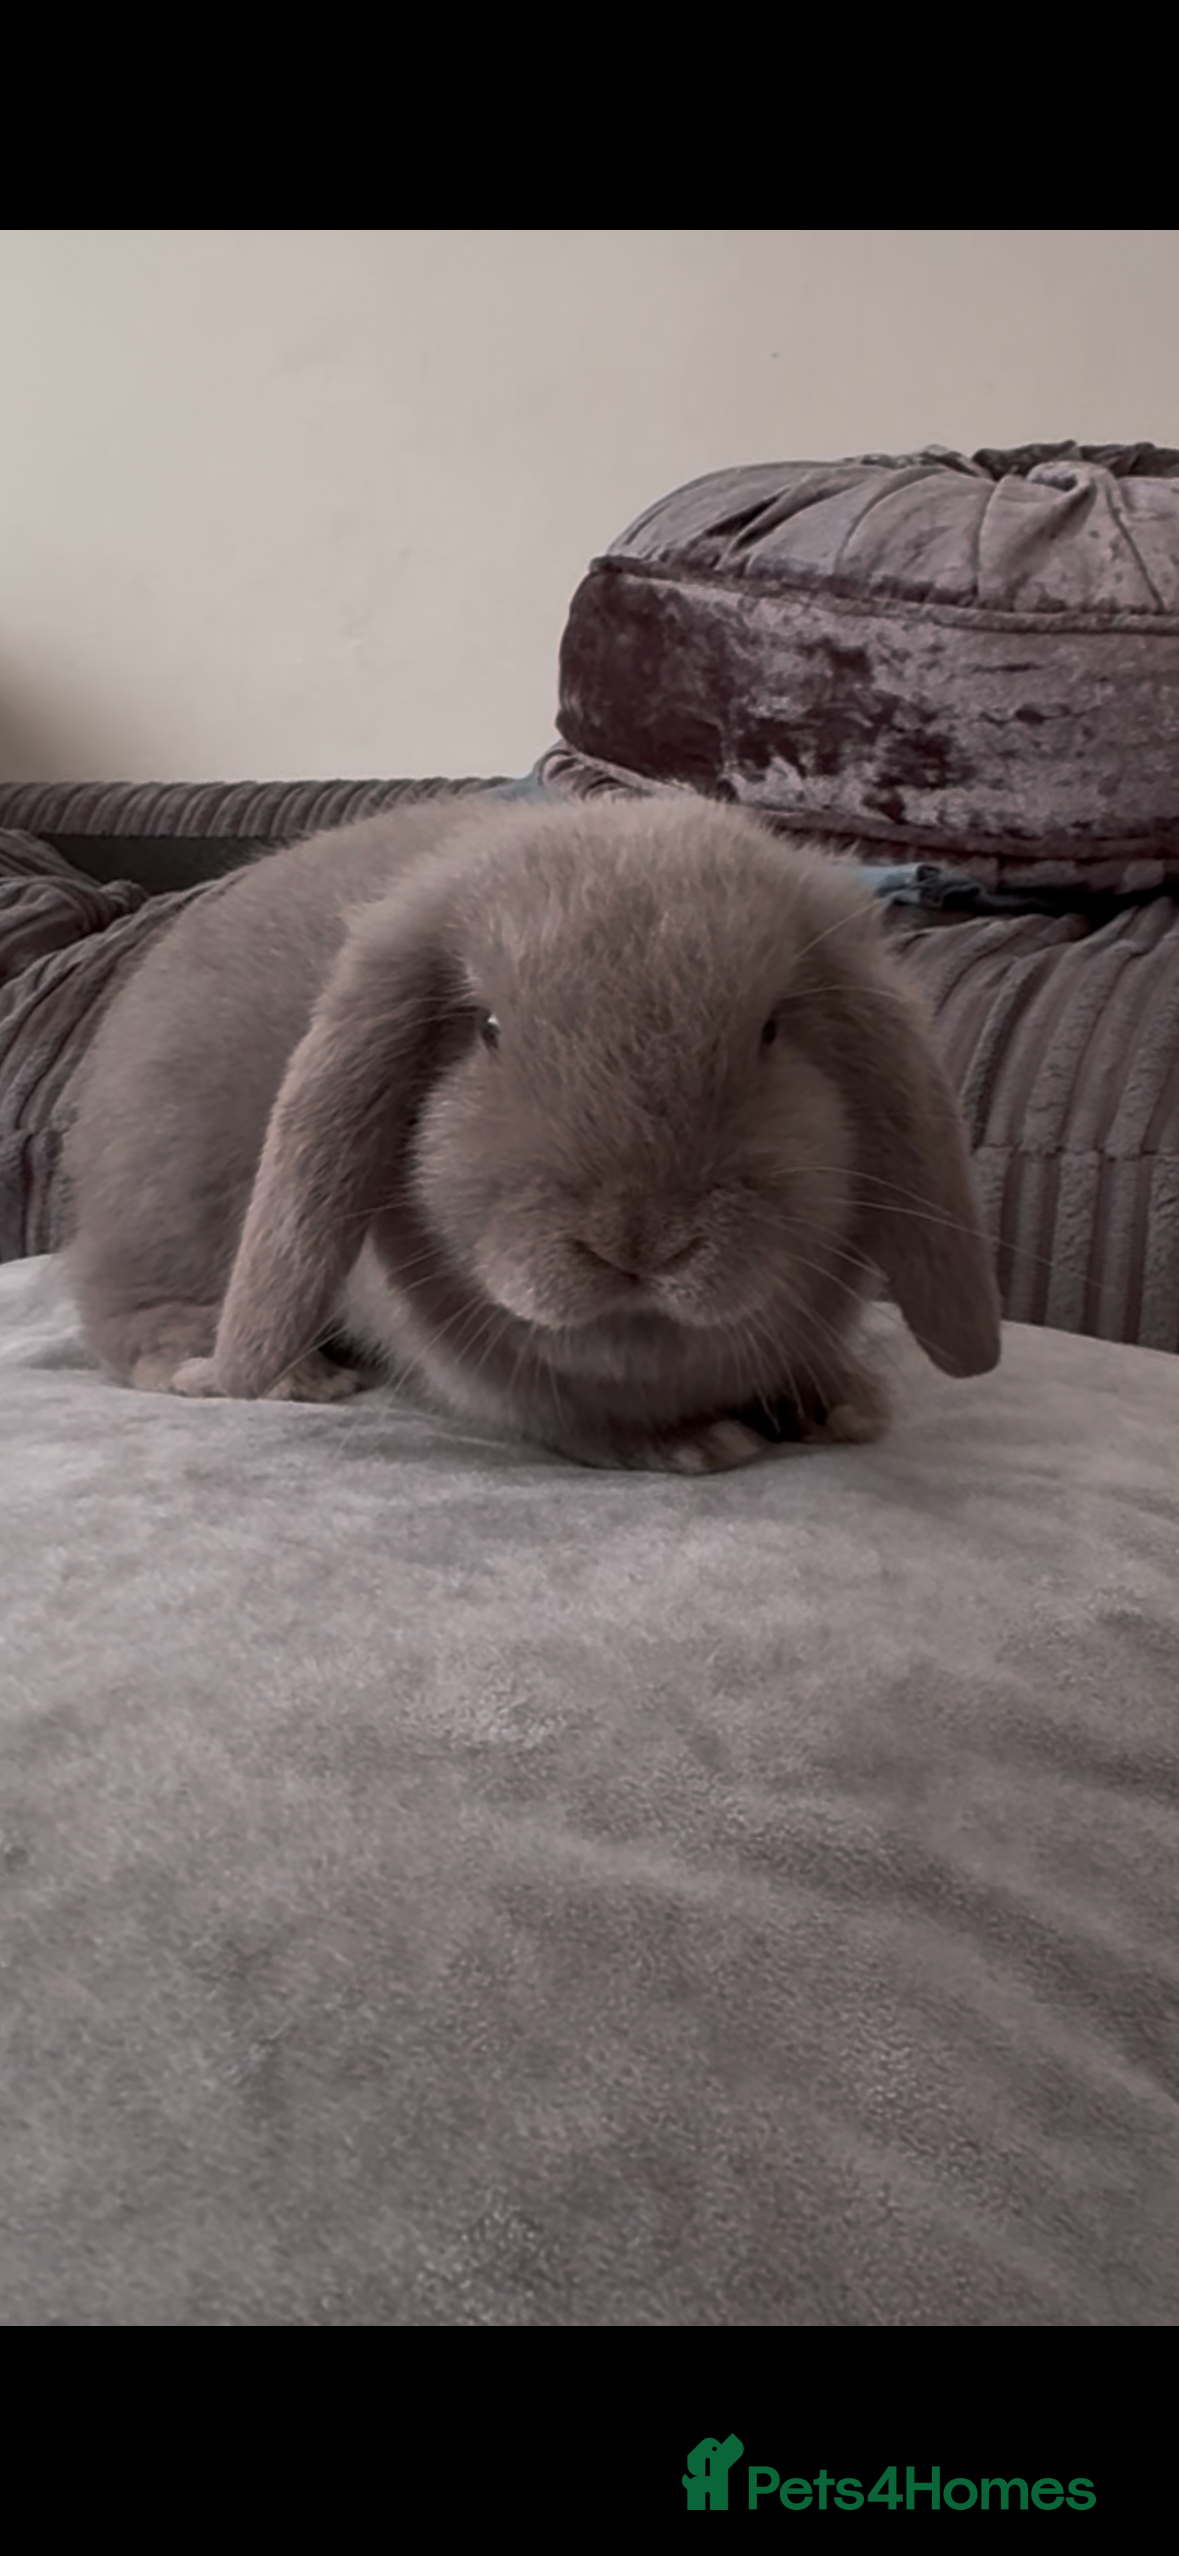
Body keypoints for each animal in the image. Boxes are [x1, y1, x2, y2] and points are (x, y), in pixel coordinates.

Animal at [62, 795, 1001, 1473]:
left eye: (770, 1030)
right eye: (487, 1029)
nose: (638, 1241)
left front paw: (844, 1404)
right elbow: (575, 1421)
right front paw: (694, 1444)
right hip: (165, 1207)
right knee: (120, 1310)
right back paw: (274, 1371)